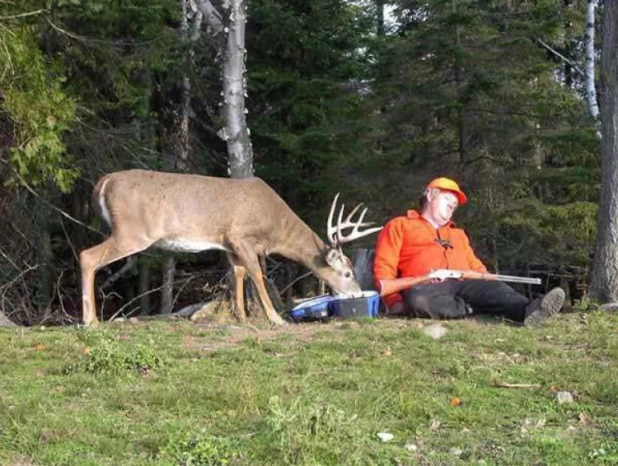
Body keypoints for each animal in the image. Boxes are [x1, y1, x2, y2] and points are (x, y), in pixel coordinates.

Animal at [80, 169, 382, 326]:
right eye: (347, 273)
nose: (357, 293)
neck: (273, 227)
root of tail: (103, 182)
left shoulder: (228, 244)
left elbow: (238, 274)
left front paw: (242, 317)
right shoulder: (241, 236)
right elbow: (258, 275)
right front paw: (276, 318)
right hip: (133, 231)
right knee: (87, 256)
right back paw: (90, 320)